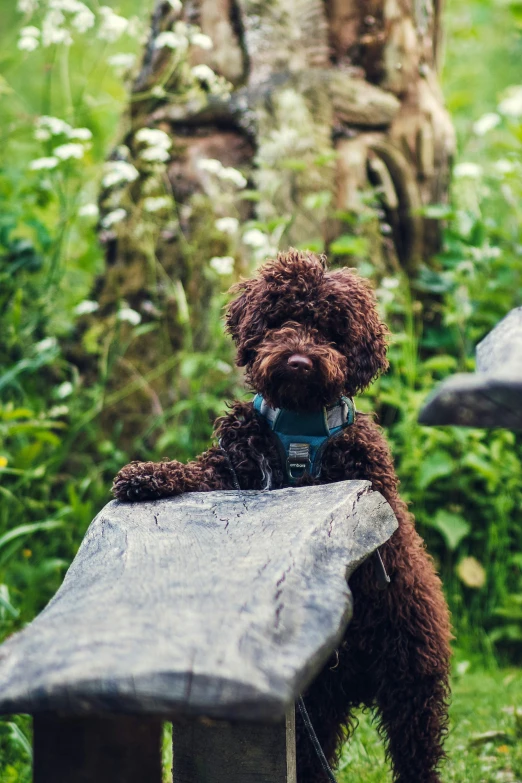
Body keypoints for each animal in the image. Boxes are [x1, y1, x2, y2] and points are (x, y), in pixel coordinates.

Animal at [111, 250, 448, 783]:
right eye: (281, 317)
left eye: (331, 330)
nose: (299, 360)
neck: (298, 424)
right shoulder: (236, 465)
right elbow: (200, 470)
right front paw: (147, 475)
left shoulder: (366, 483)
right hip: (320, 706)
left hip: (411, 692)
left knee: (417, 757)